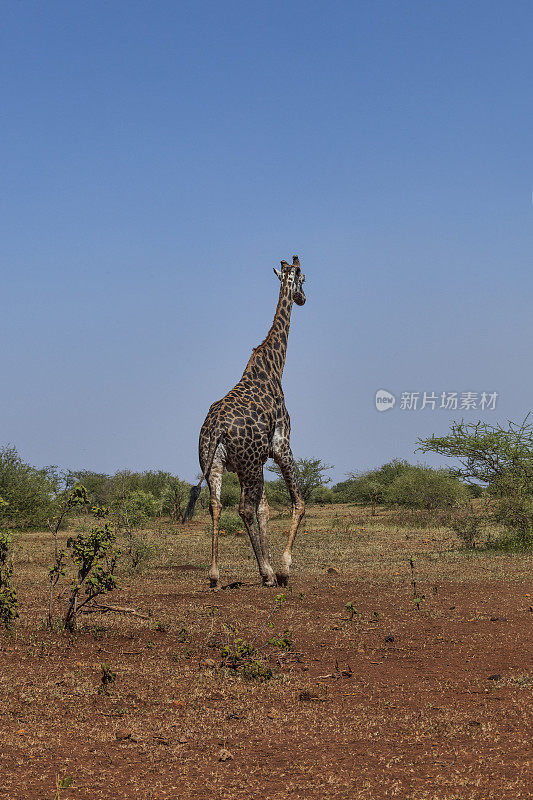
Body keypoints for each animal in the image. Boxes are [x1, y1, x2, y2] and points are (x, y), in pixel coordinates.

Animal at [183, 256, 306, 588]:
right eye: (305, 279)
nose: (303, 298)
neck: (274, 368)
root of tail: (217, 429)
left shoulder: (255, 461)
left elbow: (265, 509)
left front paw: (270, 566)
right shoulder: (281, 446)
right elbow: (298, 502)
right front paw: (282, 569)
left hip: (214, 463)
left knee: (215, 505)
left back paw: (215, 575)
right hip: (248, 464)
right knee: (243, 509)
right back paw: (266, 574)